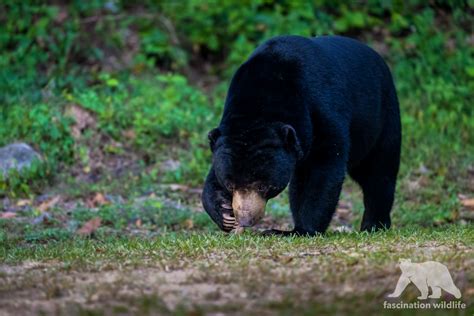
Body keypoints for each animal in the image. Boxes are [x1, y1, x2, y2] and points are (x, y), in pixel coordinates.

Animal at [200, 35, 400, 236]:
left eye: (263, 185)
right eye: (230, 184)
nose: (245, 220)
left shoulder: (321, 109)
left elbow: (322, 168)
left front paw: (300, 230)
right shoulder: (228, 137)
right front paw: (224, 213)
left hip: (381, 119)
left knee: (378, 172)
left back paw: (374, 225)